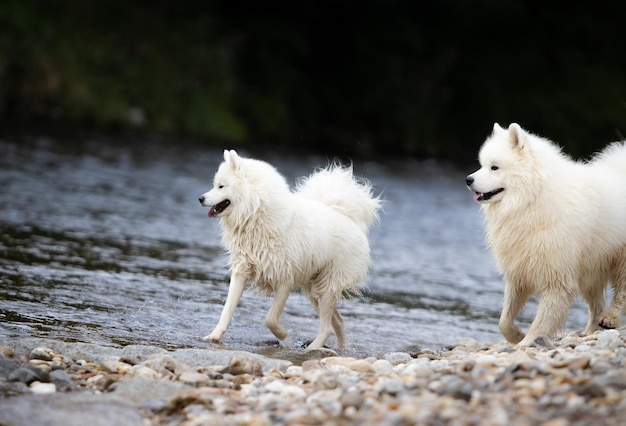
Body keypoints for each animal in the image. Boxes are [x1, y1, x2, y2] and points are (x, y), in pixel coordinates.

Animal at [199, 150, 380, 350]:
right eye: (215, 185)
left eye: (221, 186)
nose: (200, 198)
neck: (256, 213)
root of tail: (349, 218)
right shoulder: (241, 271)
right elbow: (227, 310)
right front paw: (214, 336)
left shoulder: (285, 278)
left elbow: (270, 319)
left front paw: (285, 336)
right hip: (315, 290)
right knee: (339, 321)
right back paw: (339, 349)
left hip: (328, 287)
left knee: (326, 328)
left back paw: (313, 348)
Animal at [466, 123, 620, 346]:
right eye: (482, 165)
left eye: (494, 167)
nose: (468, 179)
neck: (531, 199)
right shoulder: (519, 273)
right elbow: (503, 321)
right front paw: (516, 336)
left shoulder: (557, 277)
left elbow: (542, 322)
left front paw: (527, 343)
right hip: (591, 269)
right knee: (596, 304)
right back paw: (592, 330)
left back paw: (610, 318)